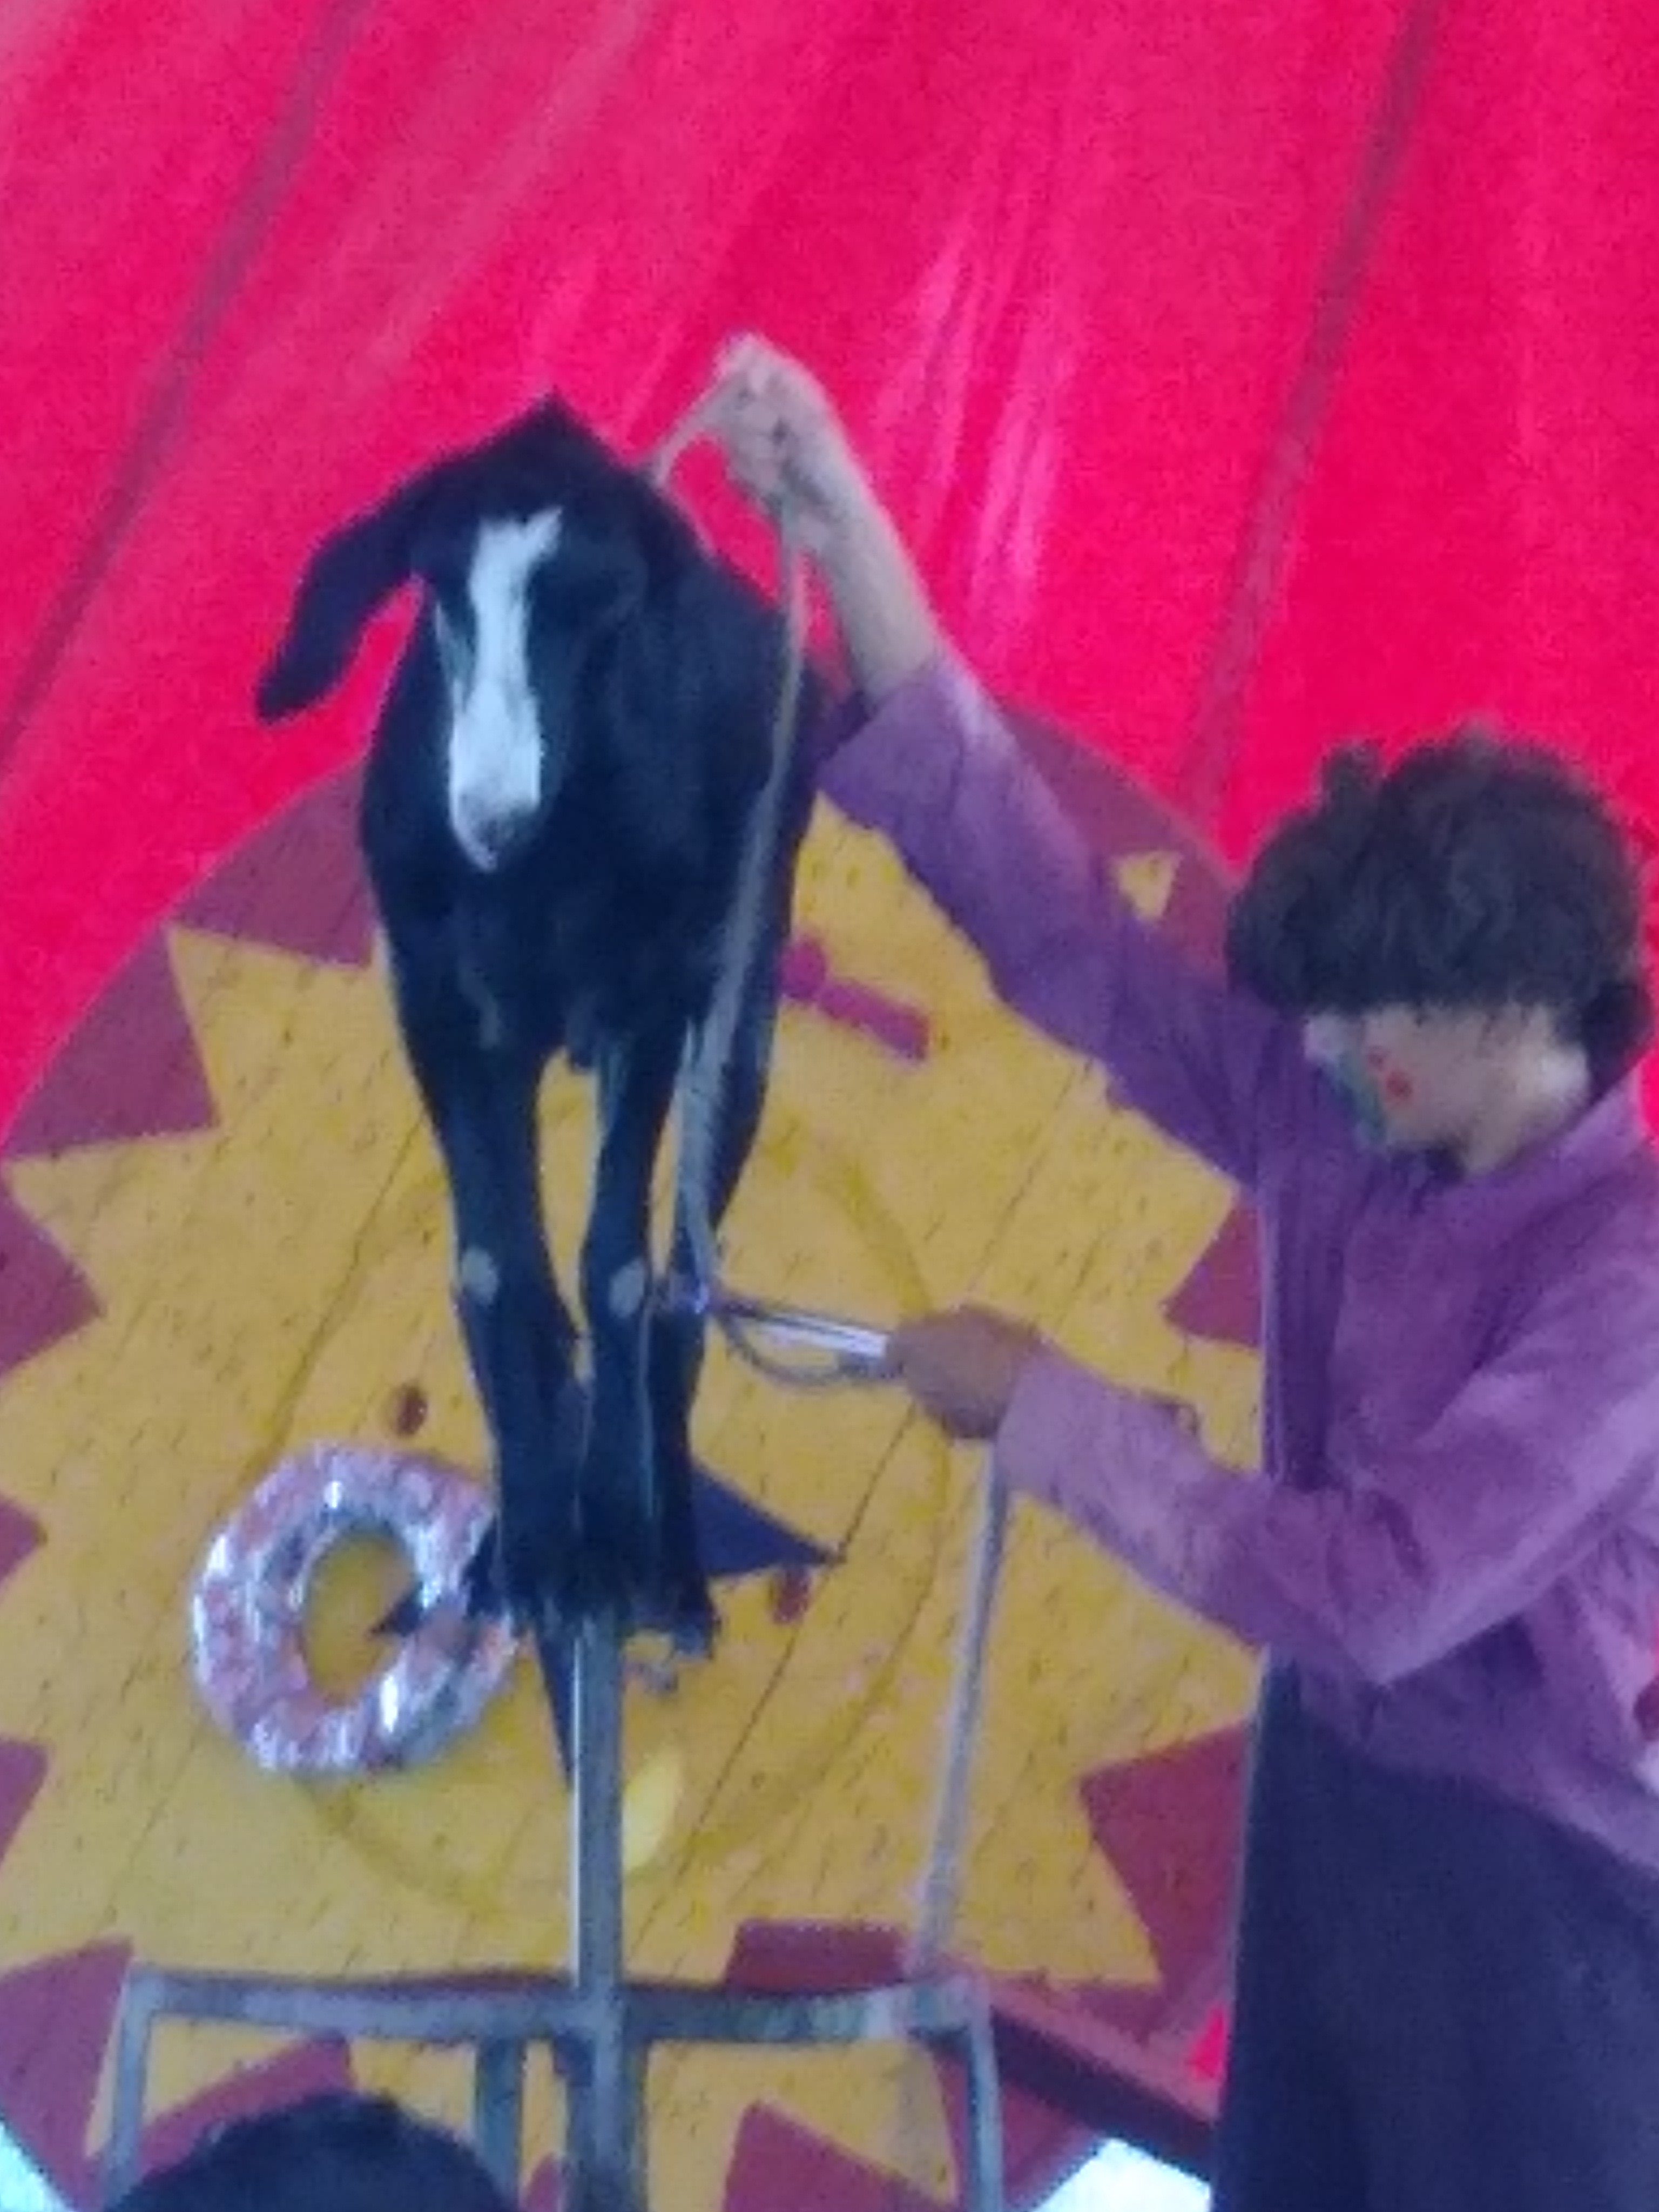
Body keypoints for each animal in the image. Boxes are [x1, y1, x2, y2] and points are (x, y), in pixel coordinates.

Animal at [254, 396, 823, 1652]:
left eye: (603, 608)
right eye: (439, 593)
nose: (491, 814)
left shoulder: (652, 1005)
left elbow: (618, 1265)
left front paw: (608, 1538)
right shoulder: (441, 1008)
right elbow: (490, 1266)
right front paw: (528, 1544)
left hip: (741, 1017)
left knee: (682, 1287)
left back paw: (672, 1568)